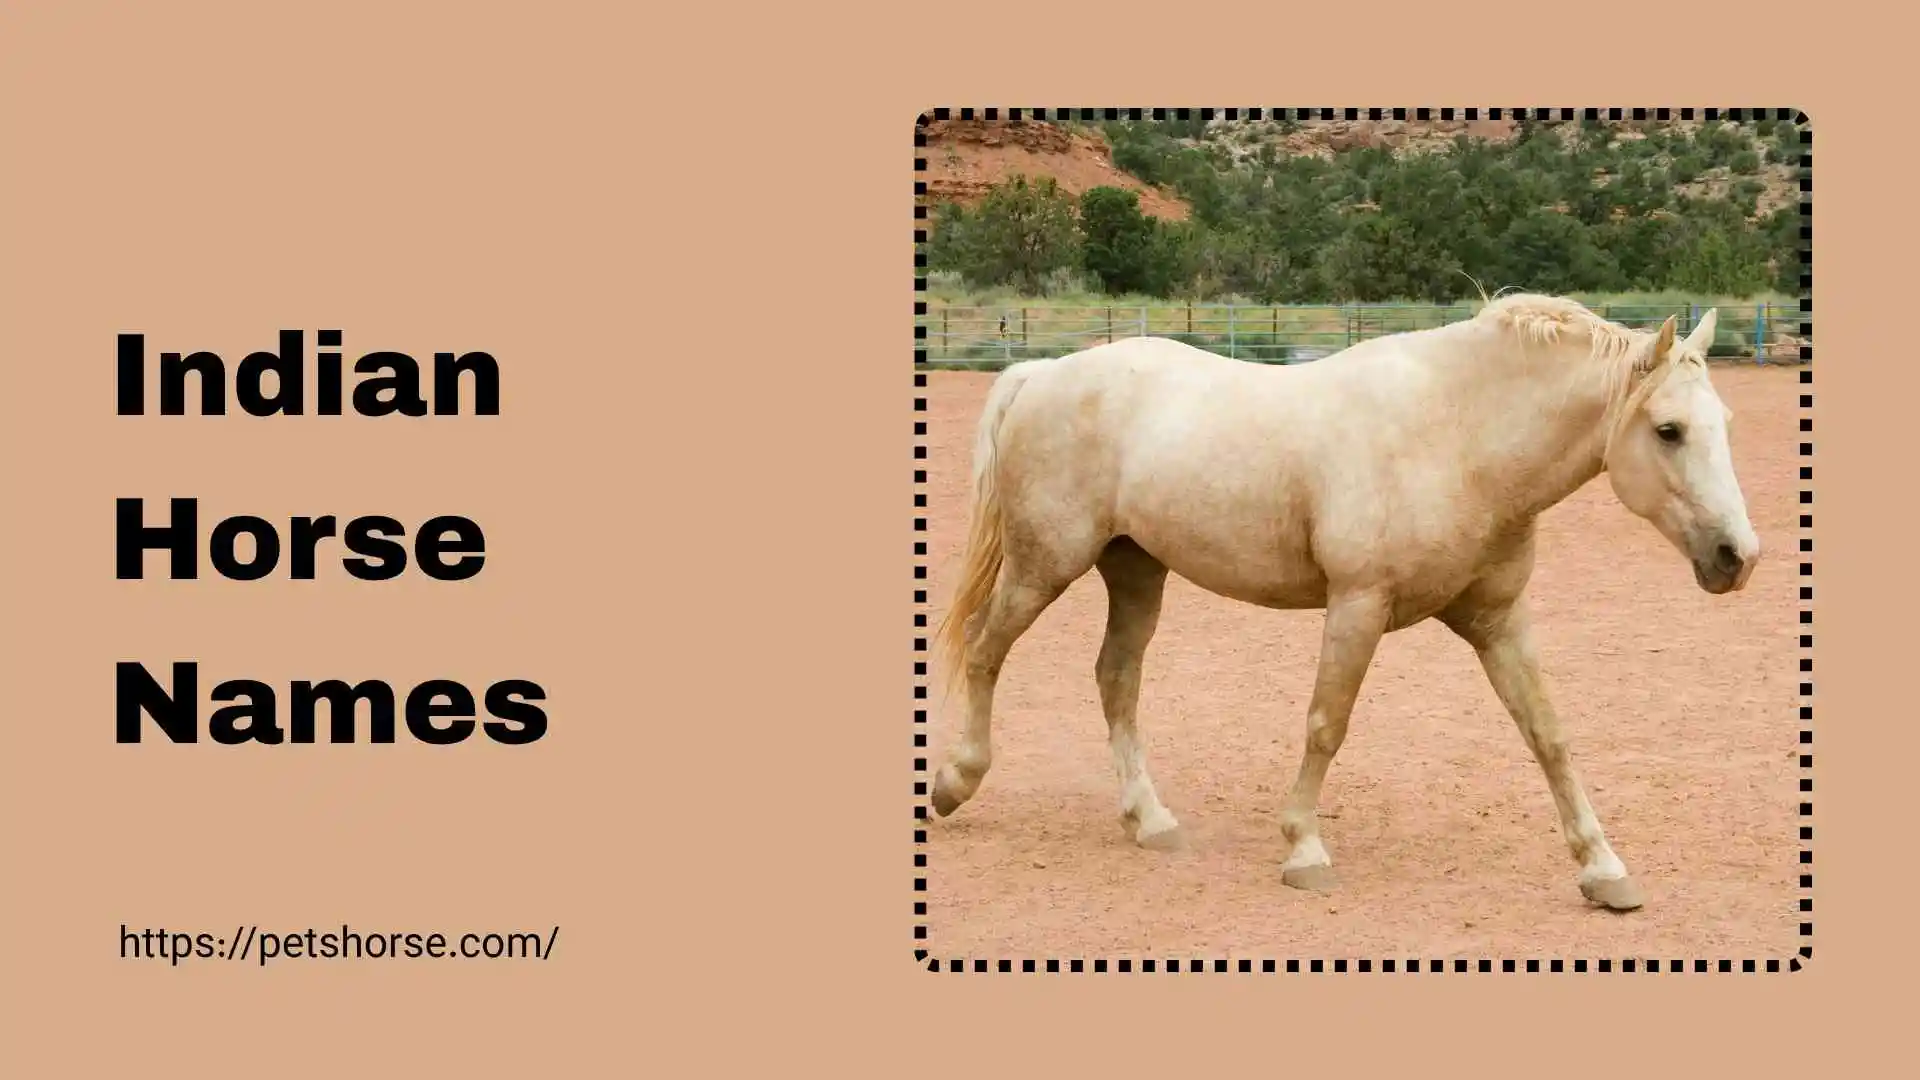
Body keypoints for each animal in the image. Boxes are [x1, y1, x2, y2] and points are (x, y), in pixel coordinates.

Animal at [929, 293, 1760, 911]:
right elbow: (1327, 724)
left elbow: (1548, 736)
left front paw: (1604, 868)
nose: (1738, 557)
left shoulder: (1497, 621)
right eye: (1668, 430)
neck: (1458, 437)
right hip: (1045, 565)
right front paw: (1304, 849)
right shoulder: (1358, 605)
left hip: (1135, 570)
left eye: (1723, 425)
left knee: (1115, 679)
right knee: (986, 650)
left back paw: (1149, 818)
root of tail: (1041, 373)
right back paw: (955, 782)